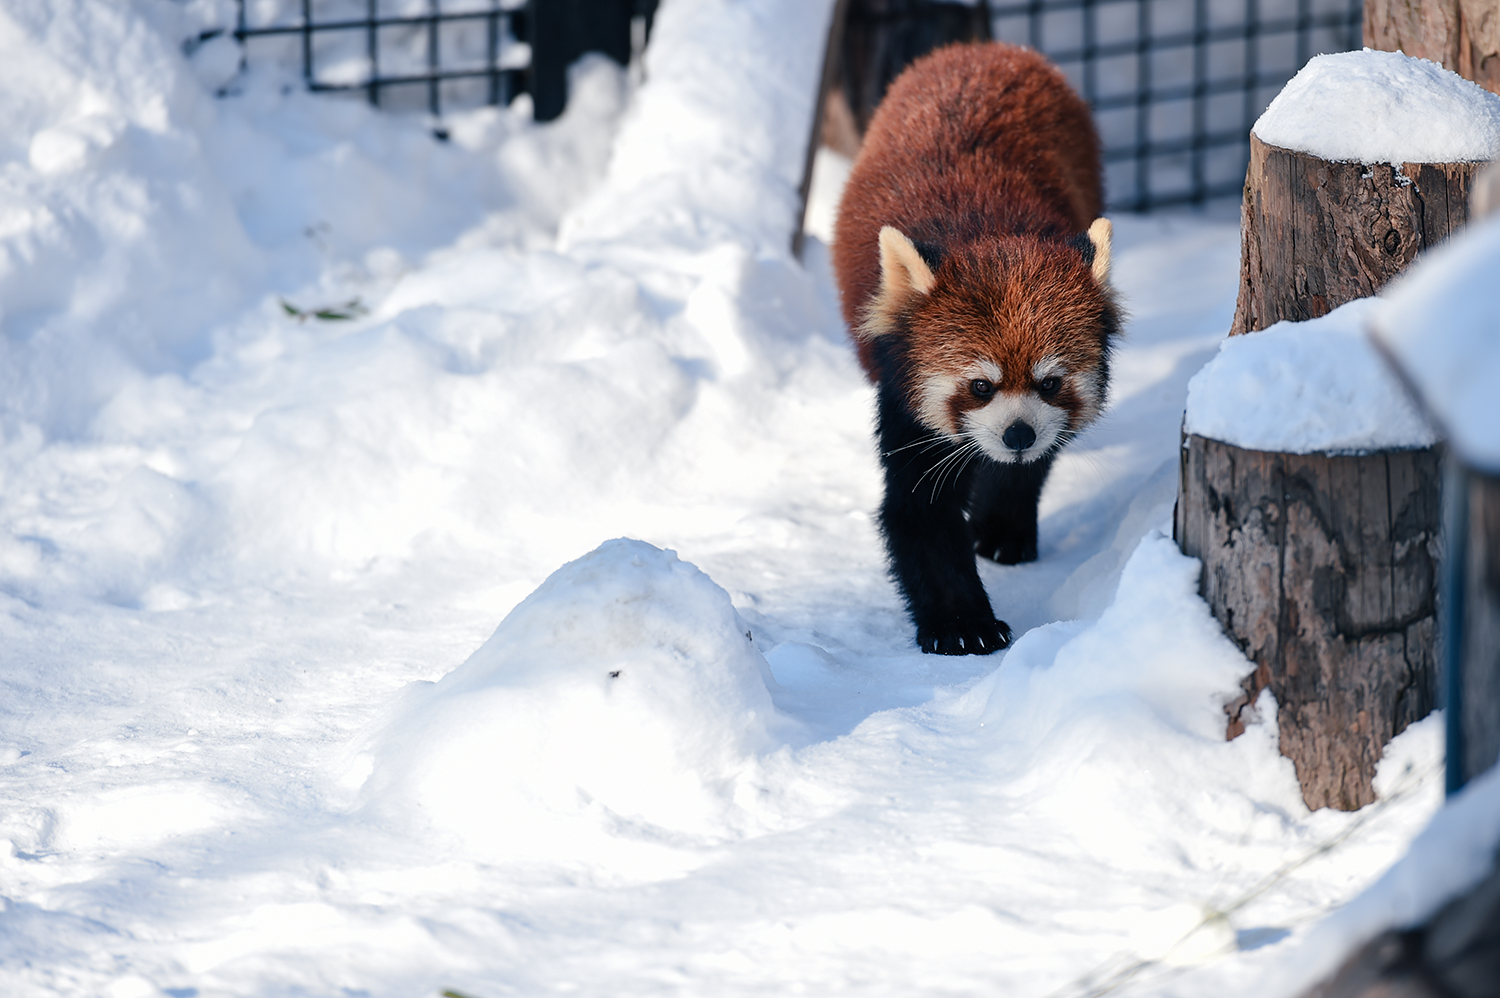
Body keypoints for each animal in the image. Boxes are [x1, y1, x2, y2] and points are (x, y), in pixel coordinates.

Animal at [834, 42, 1116, 654]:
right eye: (980, 385)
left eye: (1050, 382)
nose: (1017, 434)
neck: (989, 234)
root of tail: (984, 50)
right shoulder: (903, 388)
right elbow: (919, 511)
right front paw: (963, 624)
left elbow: (1027, 468)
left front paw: (1004, 531)